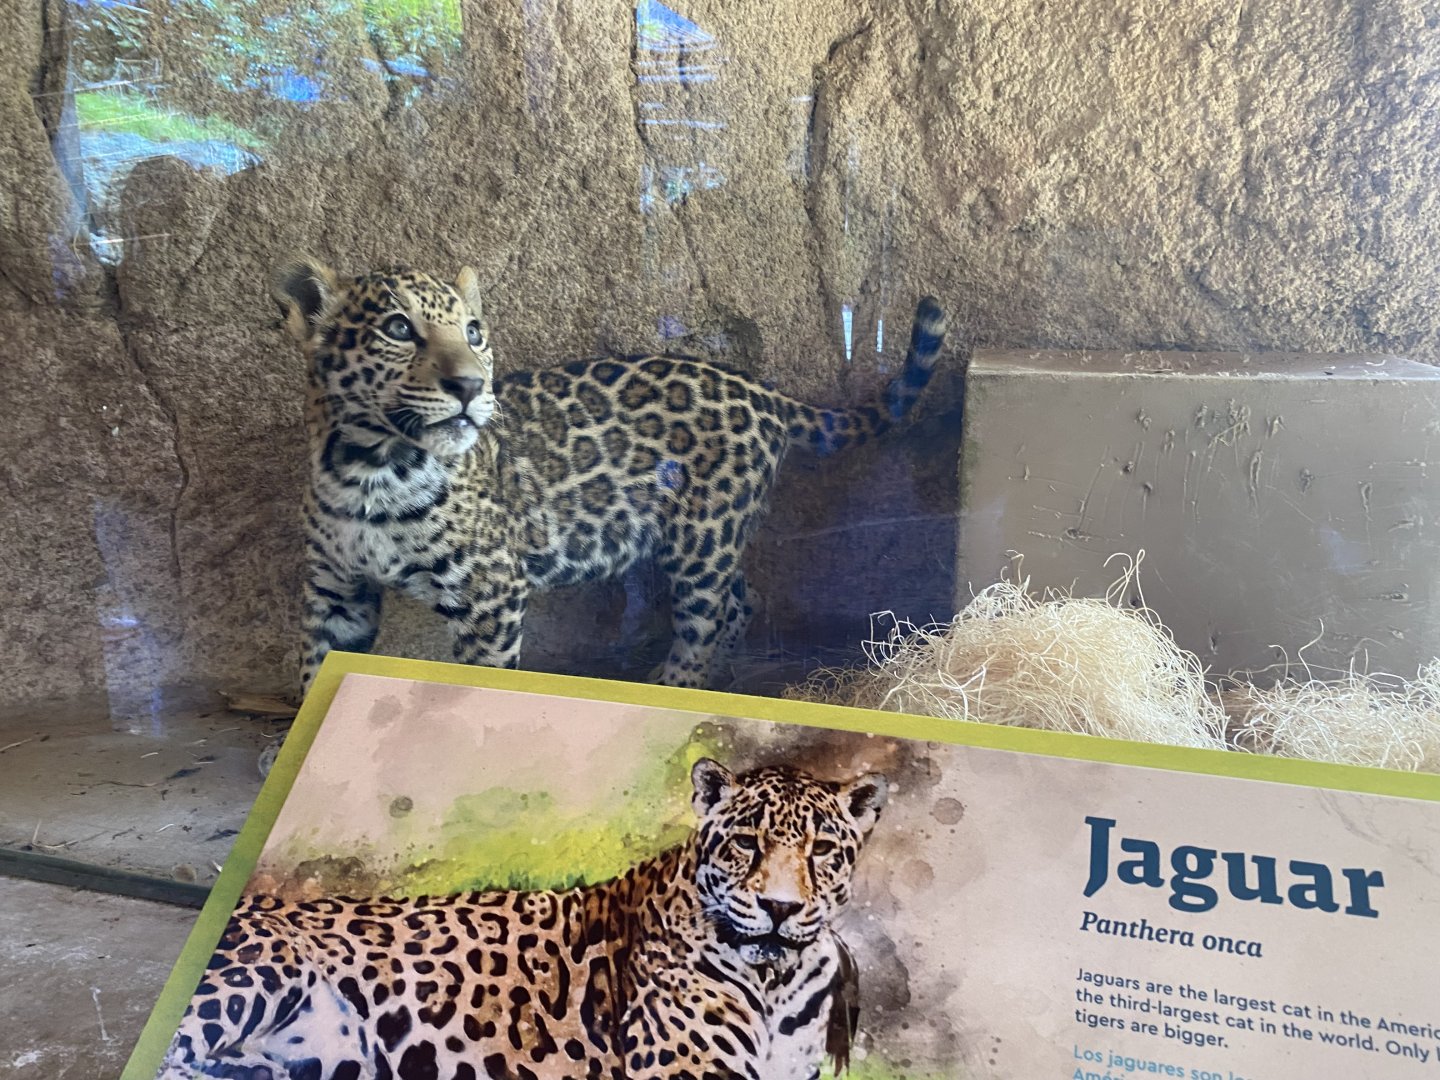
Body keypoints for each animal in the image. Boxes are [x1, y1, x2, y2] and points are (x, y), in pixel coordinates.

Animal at [156, 758, 888, 1080]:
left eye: (822, 851)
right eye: (745, 844)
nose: (780, 908)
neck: (774, 983)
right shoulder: (682, 1072)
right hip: (260, 970)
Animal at [272, 256, 947, 700]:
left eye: (473, 332)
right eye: (397, 329)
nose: (469, 386)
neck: (367, 466)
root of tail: (764, 392)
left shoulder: (491, 593)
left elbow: (479, 680)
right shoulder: (336, 590)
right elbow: (313, 670)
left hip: (701, 537)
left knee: (712, 611)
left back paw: (679, 685)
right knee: (742, 598)